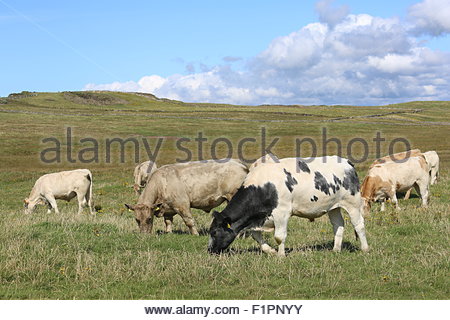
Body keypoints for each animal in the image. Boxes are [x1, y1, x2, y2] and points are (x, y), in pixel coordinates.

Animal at [208, 156, 370, 258]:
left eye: (214, 232)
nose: (209, 250)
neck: (264, 186)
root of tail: (346, 162)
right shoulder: (259, 217)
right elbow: (256, 236)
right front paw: (270, 251)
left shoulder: (282, 212)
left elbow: (279, 237)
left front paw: (280, 255)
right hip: (333, 207)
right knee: (338, 225)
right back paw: (336, 249)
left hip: (352, 203)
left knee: (359, 225)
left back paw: (365, 248)